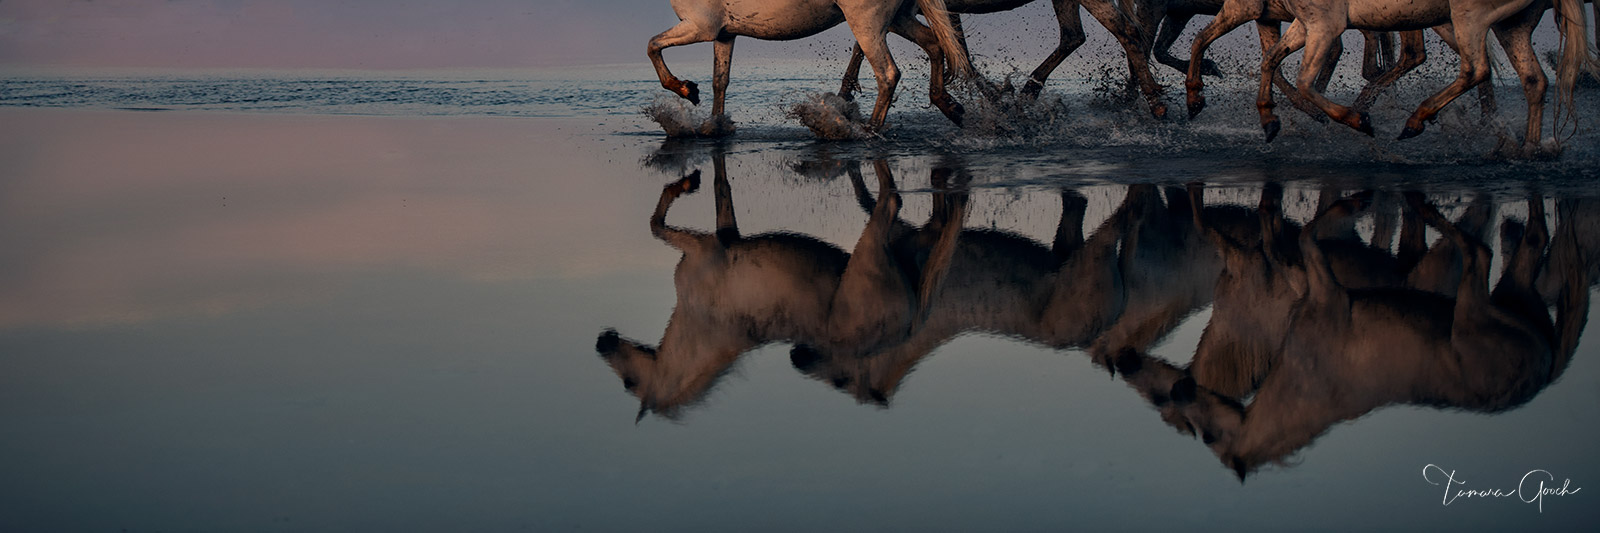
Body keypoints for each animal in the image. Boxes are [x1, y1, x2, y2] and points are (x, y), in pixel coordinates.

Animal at [646, 0, 972, 132]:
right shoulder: (724, 35)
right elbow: (720, 81)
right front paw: (715, 125)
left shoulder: (700, 27)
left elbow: (652, 45)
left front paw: (685, 89)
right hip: (899, 18)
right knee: (934, 43)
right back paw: (949, 106)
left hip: (868, 25)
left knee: (888, 74)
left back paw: (867, 131)